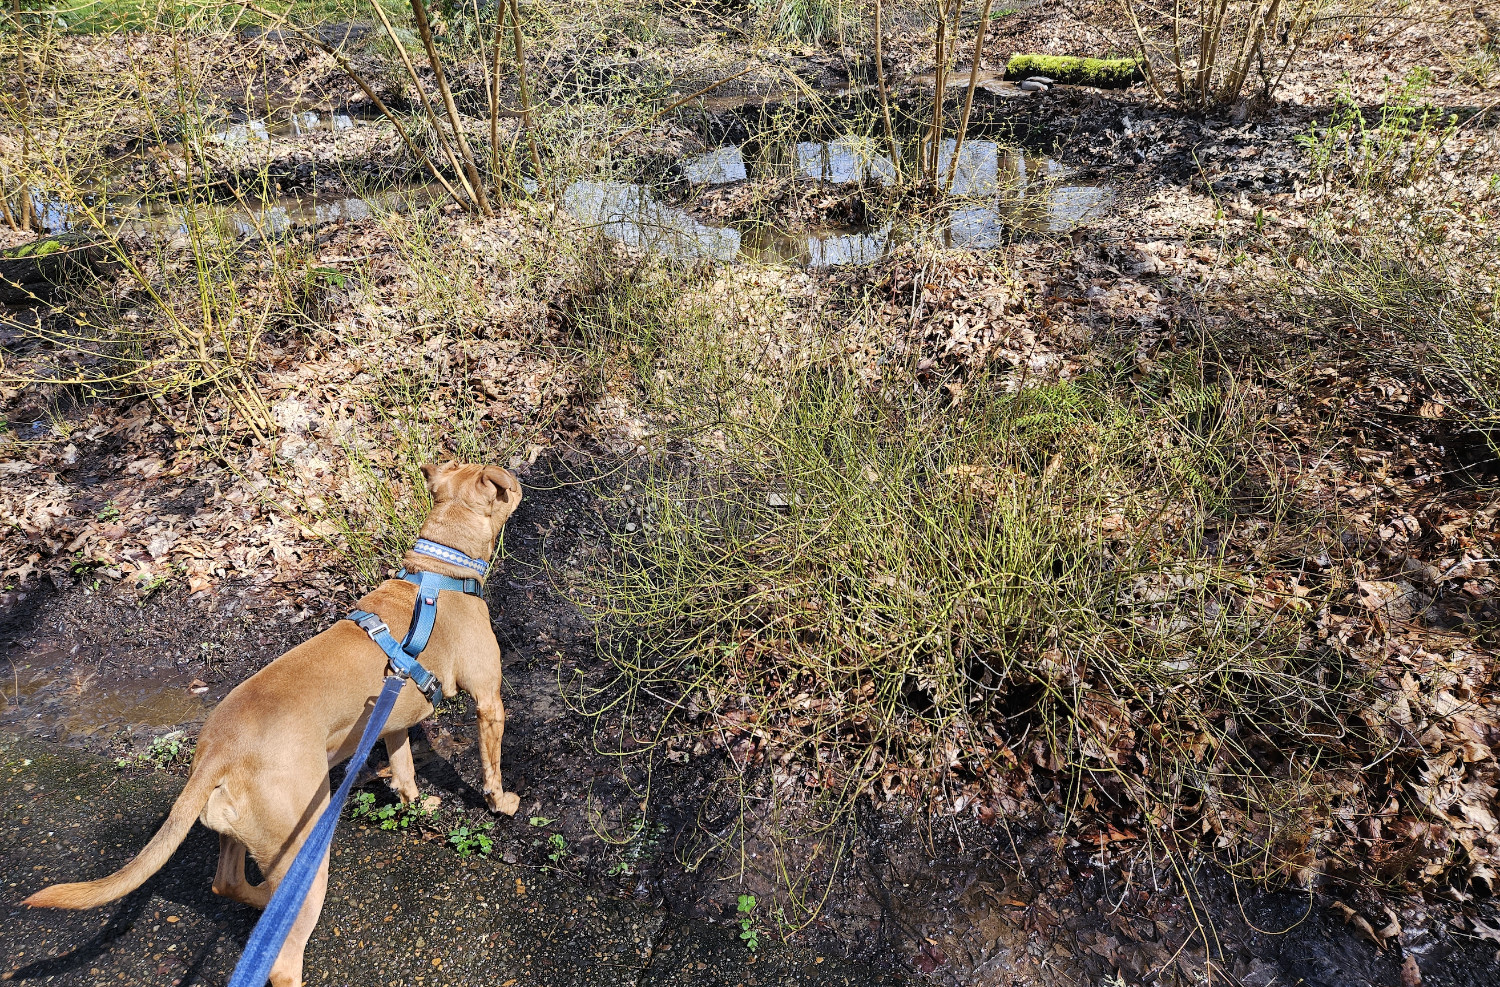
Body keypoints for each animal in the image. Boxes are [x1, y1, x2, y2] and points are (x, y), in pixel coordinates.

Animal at [21, 462, 528, 984]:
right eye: (505, 486)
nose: (519, 479)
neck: (440, 572)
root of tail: (218, 750)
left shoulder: (391, 723)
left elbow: (405, 771)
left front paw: (416, 803)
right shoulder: (488, 700)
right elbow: (490, 766)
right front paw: (502, 803)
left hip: (241, 832)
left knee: (227, 884)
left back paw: (266, 902)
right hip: (300, 842)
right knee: (282, 958)